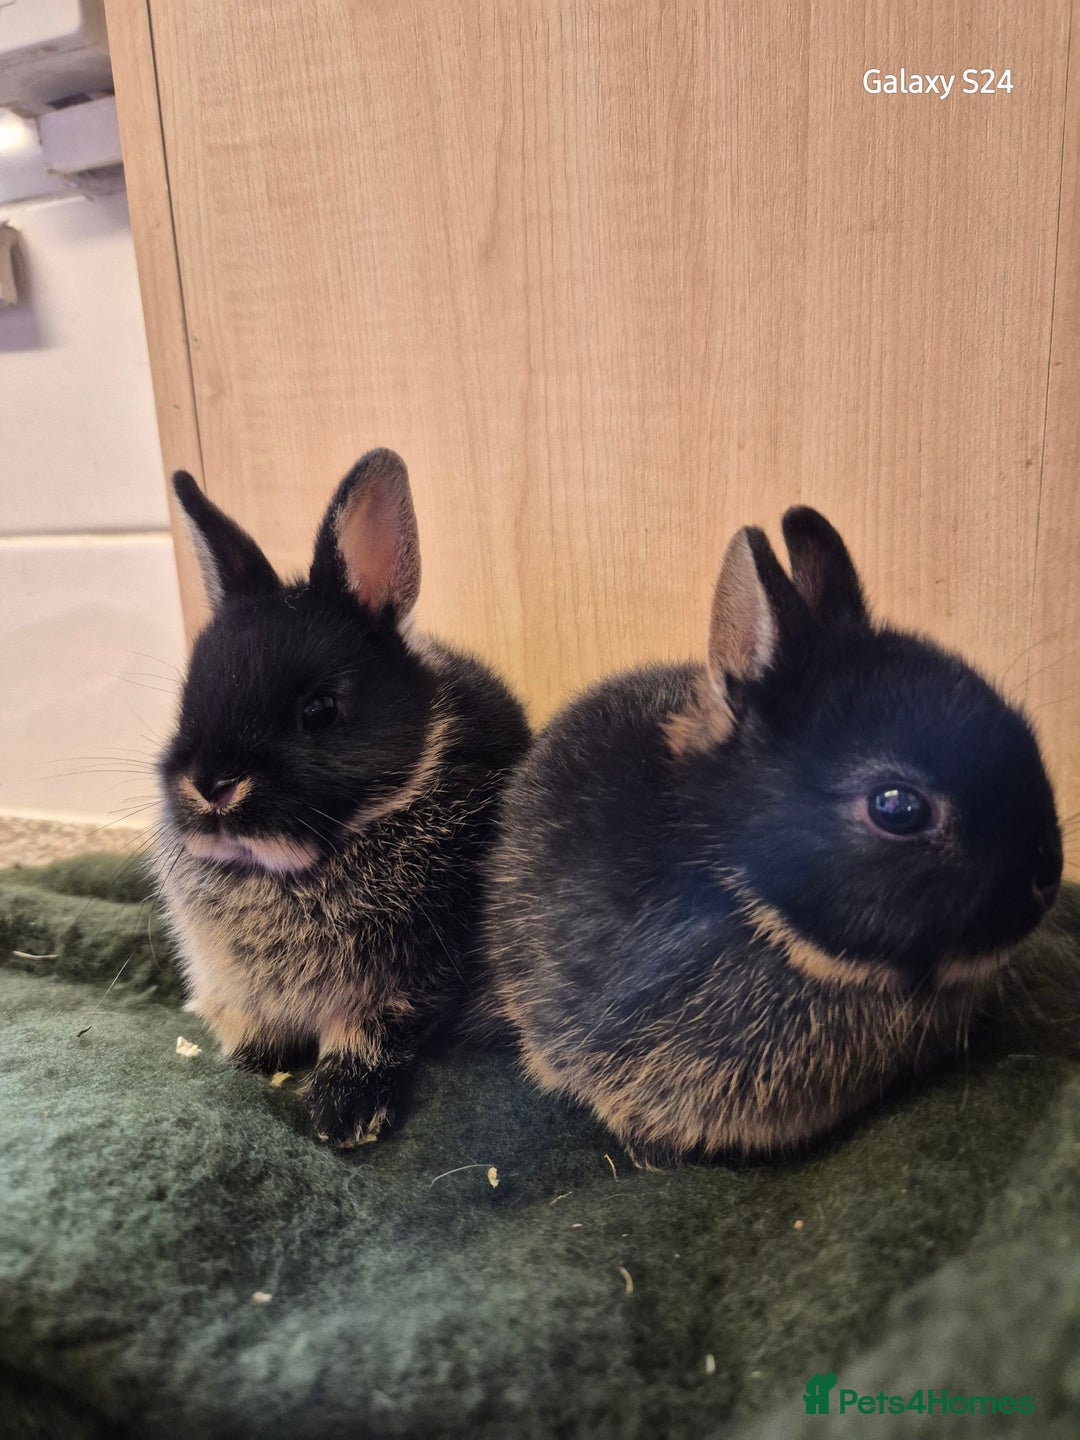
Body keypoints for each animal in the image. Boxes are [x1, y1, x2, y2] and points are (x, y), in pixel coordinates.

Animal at [153, 449, 530, 1147]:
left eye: (320, 711)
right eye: (187, 702)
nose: (211, 783)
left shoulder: (408, 980)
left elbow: (371, 1035)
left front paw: (342, 1114)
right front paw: (252, 1061)